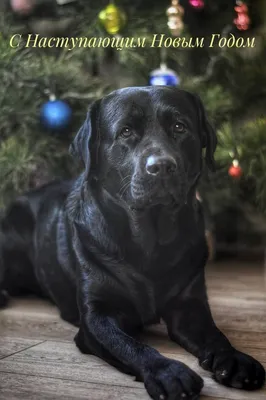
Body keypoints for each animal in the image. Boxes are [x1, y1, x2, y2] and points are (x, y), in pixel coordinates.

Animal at [0, 86, 264, 398]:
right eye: (125, 132)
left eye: (179, 127)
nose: (161, 166)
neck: (149, 242)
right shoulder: (97, 316)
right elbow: (130, 345)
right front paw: (168, 372)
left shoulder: (189, 304)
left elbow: (215, 333)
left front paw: (235, 358)